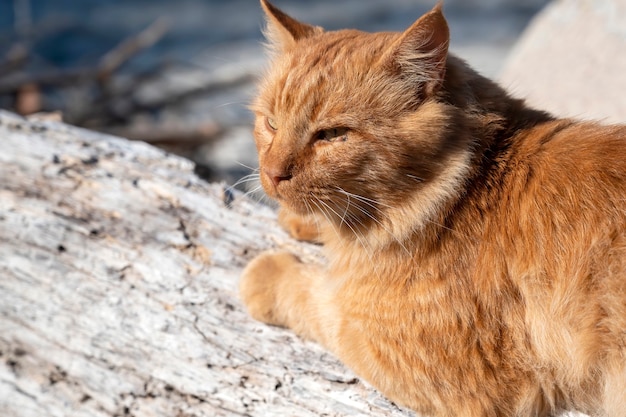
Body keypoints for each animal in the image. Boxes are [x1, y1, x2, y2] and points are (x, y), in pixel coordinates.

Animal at [239, 1, 624, 414]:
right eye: (271, 123)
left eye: (332, 135)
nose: (272, 174)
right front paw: (302, 221)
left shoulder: (425, 363)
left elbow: (321, 303)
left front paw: (267, 275)